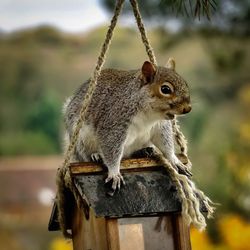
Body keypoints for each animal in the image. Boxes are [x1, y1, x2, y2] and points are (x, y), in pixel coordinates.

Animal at [63, 58, 191, 193]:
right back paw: (96, 155)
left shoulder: (160, 126)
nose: (188, 108)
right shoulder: (115, 123)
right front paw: (114, 173)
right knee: (88, 154)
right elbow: (111, 148)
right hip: (81, 139)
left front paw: (174, 160)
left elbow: (166, 144)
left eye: (185, 84)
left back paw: (143, 151)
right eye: (165, 89)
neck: (149, 115)